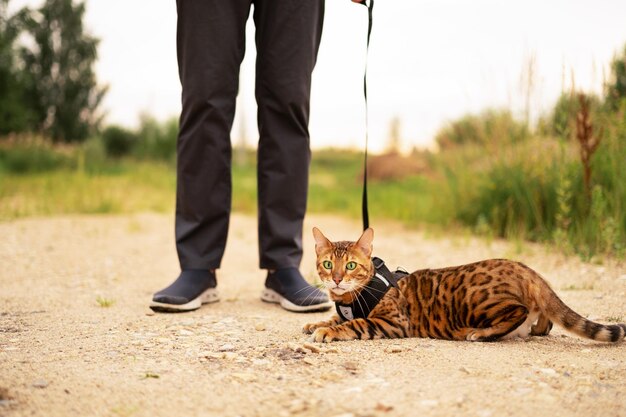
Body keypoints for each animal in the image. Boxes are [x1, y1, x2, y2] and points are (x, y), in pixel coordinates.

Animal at [300, 228, 620, 342]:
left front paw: (327, 330)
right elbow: (334, 316)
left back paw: (480, 333)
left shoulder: (392, 322)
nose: (336, 278)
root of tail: (525, 269)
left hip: (478, 299)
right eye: (328, 264)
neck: (350, 300)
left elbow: (353, 323)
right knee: (545, 320)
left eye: (351, 266)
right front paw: (317, 322)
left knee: (518, 312)